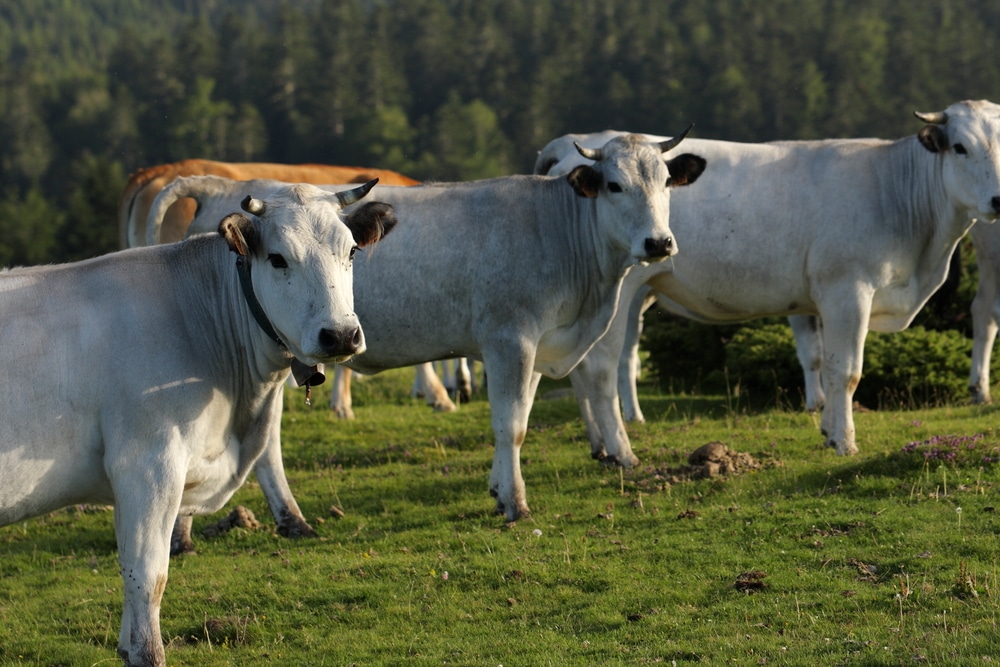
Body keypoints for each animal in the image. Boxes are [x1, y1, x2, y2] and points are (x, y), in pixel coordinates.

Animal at [0, 179, 394, 667]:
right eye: (278, 258)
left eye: (352, 250)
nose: (340, 335)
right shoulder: (147, 465)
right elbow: (147, 577)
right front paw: (150, 652)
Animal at [154, 130, 704, 520]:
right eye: (614, 185)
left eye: (664, 183)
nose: (659, 242)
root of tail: (219, 185)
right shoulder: (510, 340)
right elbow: (511, 425)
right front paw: (515, 503)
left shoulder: (533, 347)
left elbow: (522, 416)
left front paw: (498, 487)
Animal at [536, 99, 1000, 464]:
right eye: (960, 147)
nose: (998, 199)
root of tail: (574, 141)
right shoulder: (847, 290)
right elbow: (846, 370)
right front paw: (844, 442)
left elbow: (822, 361)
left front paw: (828, 430)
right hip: (617, 295)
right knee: (600, 367)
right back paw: (620, 452)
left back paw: (599, 446)